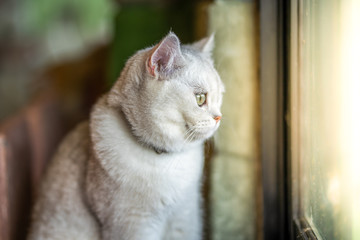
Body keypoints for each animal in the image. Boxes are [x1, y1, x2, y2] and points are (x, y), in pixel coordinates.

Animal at [28, 31, 224, 240]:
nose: (219, 117)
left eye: (220, 96)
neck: (167, 161)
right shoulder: (132, 224)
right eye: (200, 98)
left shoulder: (185, 218)